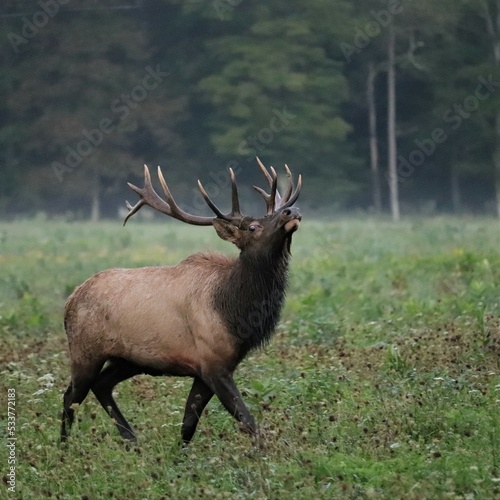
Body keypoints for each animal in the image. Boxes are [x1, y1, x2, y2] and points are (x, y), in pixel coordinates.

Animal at [58, 158, 300, 444]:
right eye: (253, 227)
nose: (292, 211)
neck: (233, 312)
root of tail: (70, 299)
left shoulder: (209, 369)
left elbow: (188, 424)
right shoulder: (212, 363)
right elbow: (246, 419)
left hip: (128, 359)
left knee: (101, 385)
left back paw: (132, 440)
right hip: (85, 351)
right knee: (71, 396)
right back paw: (64, 447)